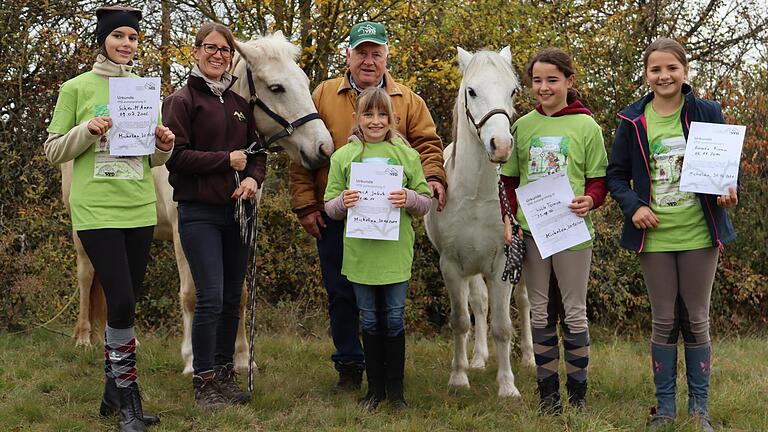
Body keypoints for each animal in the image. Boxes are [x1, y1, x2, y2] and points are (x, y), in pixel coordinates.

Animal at [70, 31, 334, 374]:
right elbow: (192, 295)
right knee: (87, 275)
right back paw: (83, 339)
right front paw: (192, 359)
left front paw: (240, 357)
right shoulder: (184, 233)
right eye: (277, 87)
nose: (324, 148)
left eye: (303, 81)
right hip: (83, 232)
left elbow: (238, 292)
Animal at [426, 47, 536, 398]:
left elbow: (502, 325)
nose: (500, 145)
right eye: (472, 91)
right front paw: (459, 377)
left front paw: (508, 385)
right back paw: (478, 359)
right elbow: (462, 320)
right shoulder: (452, 265)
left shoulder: (502, 263)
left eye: (512, 91)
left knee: (525, 303)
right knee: (479, 303)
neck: (474, 195)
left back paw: (529, 359)